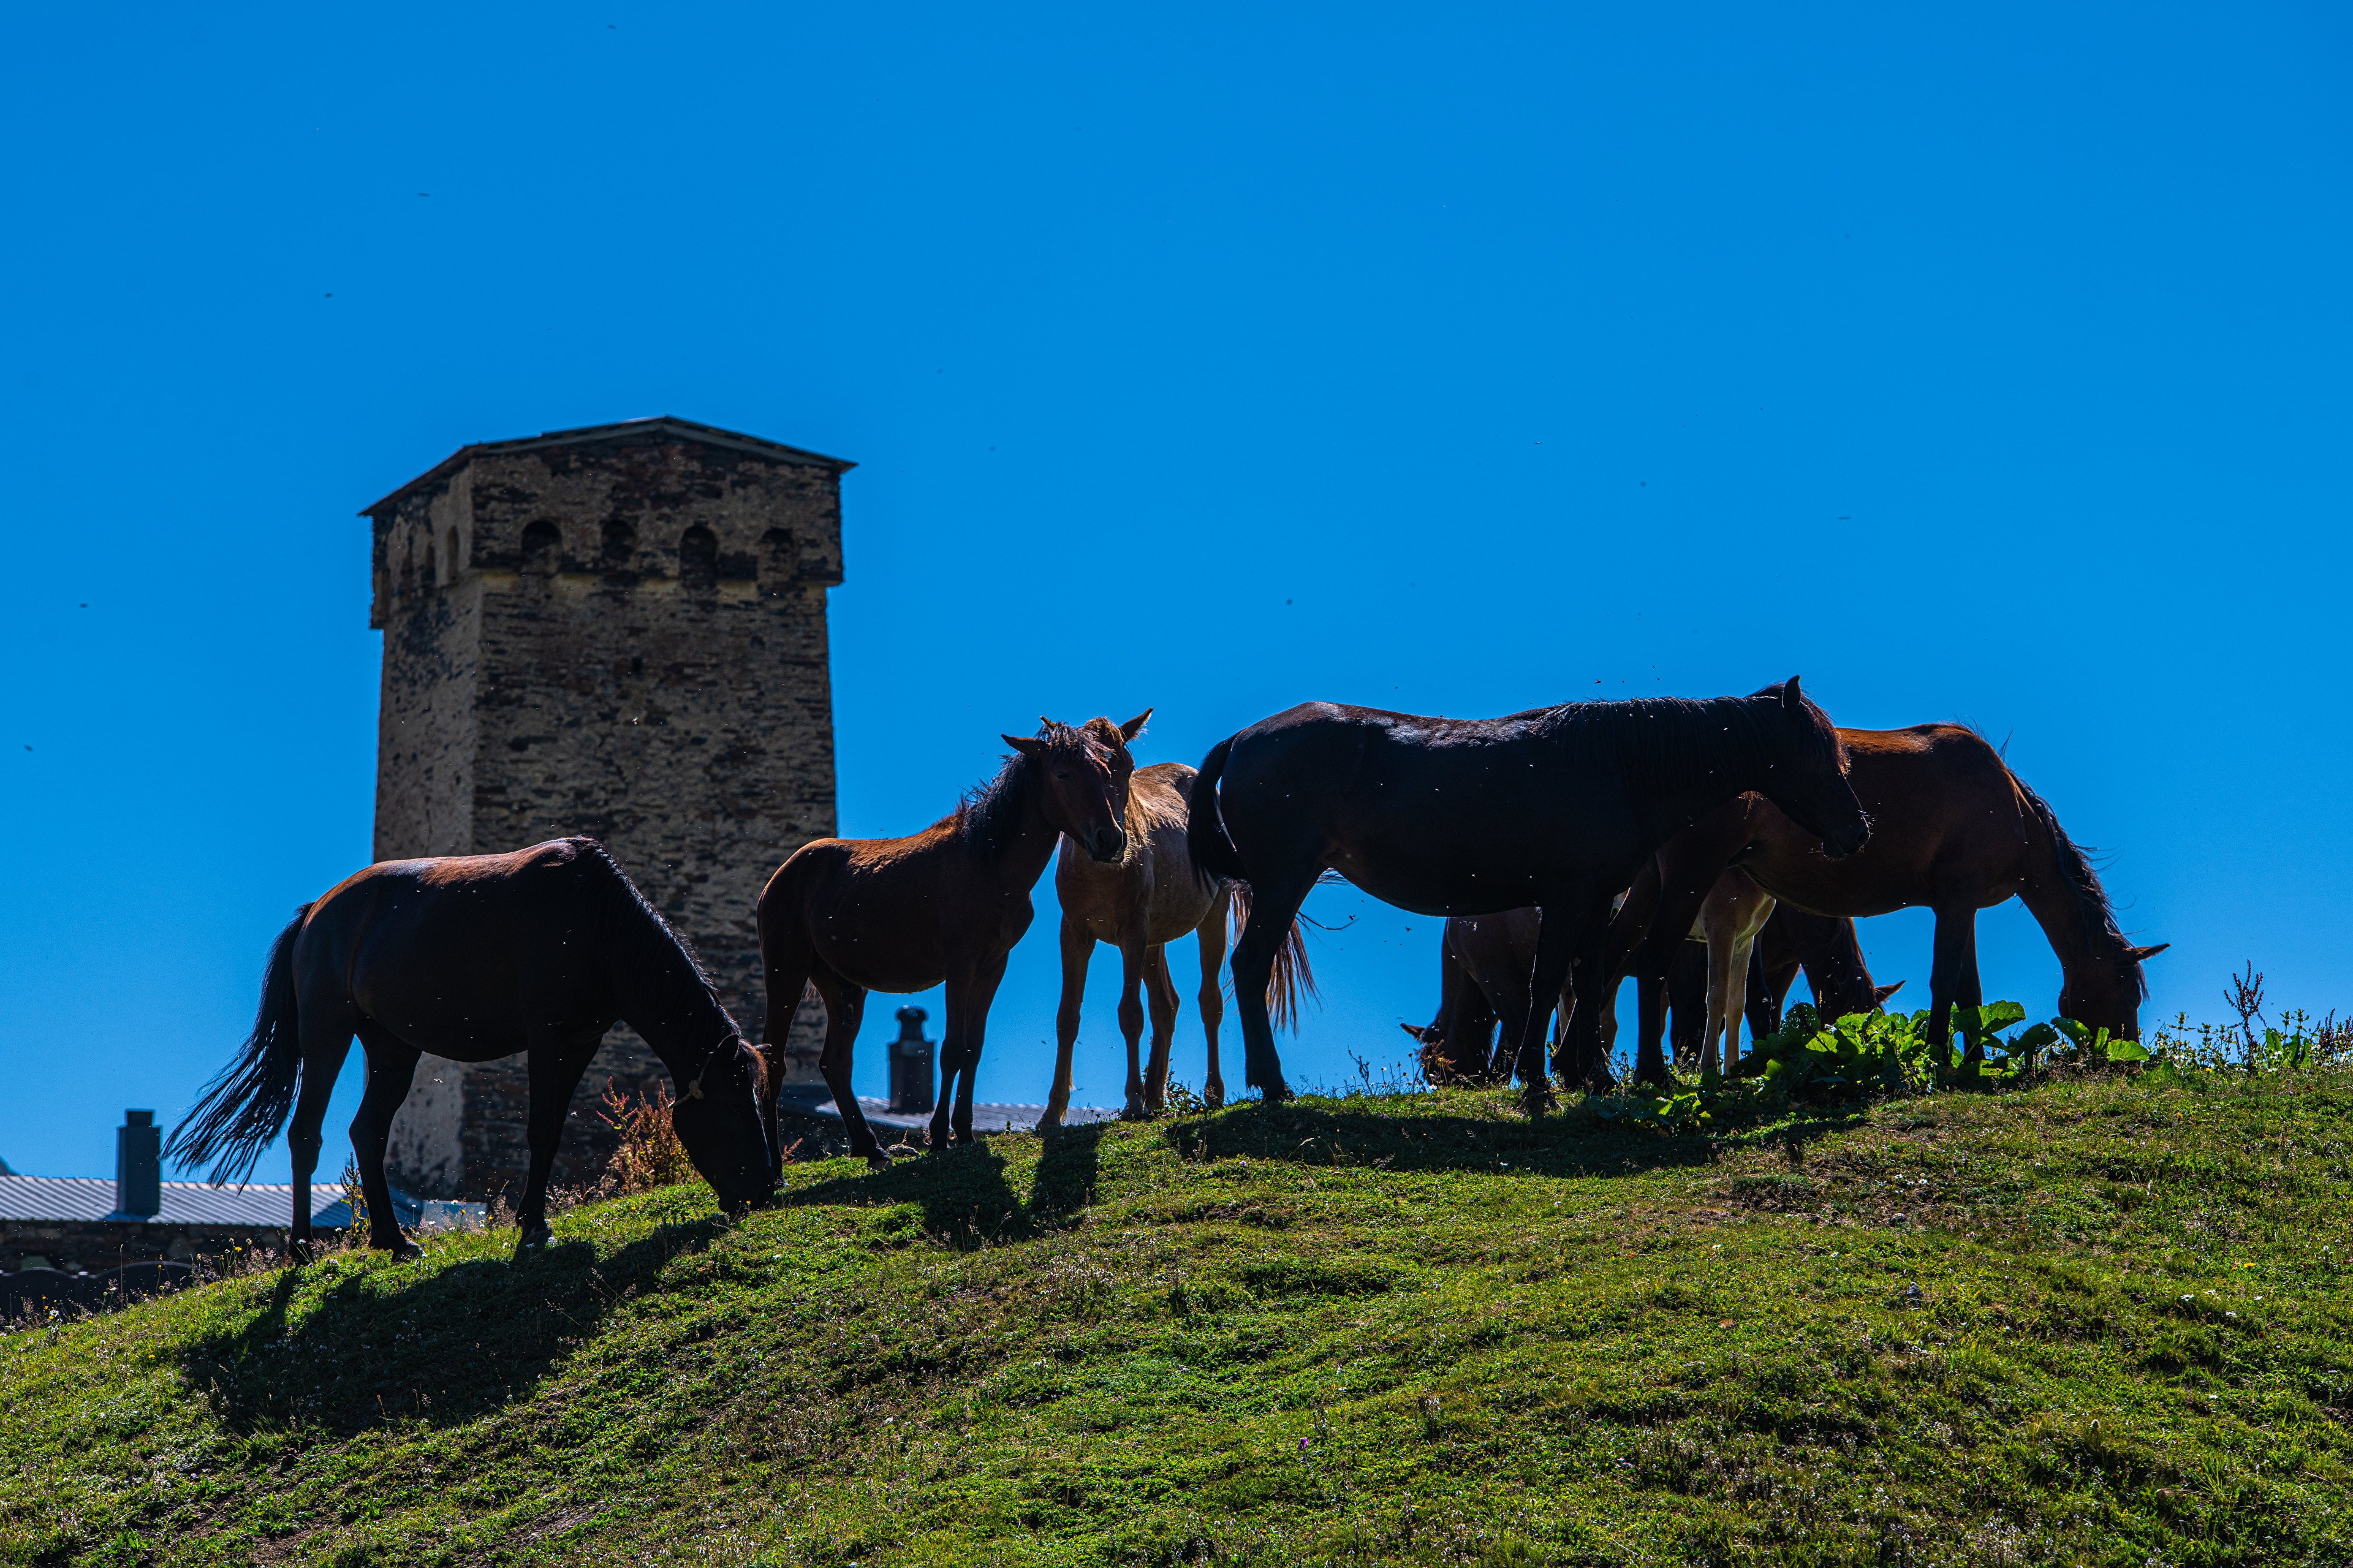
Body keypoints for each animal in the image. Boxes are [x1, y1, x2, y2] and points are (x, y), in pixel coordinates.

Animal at [164, 838, 776, 1258]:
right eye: (733, 1103)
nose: (765, 1191)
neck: (595, 921)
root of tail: (315, 912)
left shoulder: (581, 1041)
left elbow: (554, 1129)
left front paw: (533, 1220)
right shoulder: (547, 1035)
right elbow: (540, 1128)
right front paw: (532, 1227)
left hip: (393, 1047)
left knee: (368, 1131)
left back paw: (394, 1241)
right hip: (326, 1036)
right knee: (306, 1133)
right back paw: (302, 1250)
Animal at [758, 714, 1146, 1163]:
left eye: (1109, 771)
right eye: (1063, 773)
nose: (1110, 839)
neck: (989, 866)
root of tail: (781, 876)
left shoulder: (993, 966)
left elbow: (973, 1048)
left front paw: (963, 1132)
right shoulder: (960, 966)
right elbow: (952, 1049)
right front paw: (940, 1136)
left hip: (843, 984)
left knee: (835, 1063)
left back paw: (872, 1148)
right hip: (786, 971)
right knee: (775, 1060)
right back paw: (774, 1162)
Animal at [1042, 760, 1314, 1129]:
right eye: (1063, 776)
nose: (1109, 839)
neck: (1100, 871)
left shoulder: (1133, 934)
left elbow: (1131, 1014)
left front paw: (1133, 1102)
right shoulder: (1074, 934)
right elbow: (1068, 1018)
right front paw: (1052, 1113)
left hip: (1210, 917)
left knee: (1209, 1002)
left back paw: (1211, 1093)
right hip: (1155, 941)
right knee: (1166, 1005)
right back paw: (1155, 1097)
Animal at [1186, 679, 1870, 1110]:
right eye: (1816, 754)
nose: (1858, 831)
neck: (1618, 766)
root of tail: (1242, 738)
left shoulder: (1597, 900)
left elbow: (1589, 980)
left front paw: (1593, 1075)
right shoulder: (1567, 899)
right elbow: (1549, 986)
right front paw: (1541, 1080)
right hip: (1283, 883)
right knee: (1249, 967)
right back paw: (1273, 1085)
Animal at [1589, 725, 2164, 1086]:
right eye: (2124, 990)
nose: (2128, 1061)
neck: (2007, 803)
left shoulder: (1965, 905)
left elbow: (1971, 992)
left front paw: (1974, 1063)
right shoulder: (1956, 901)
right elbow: (1946, 982)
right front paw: (1938, 1059)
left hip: (1652, 885)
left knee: (1610, 958)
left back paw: (1589, 1073)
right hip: (1688, 877)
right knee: (1650, 962)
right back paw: (1647, 1074)